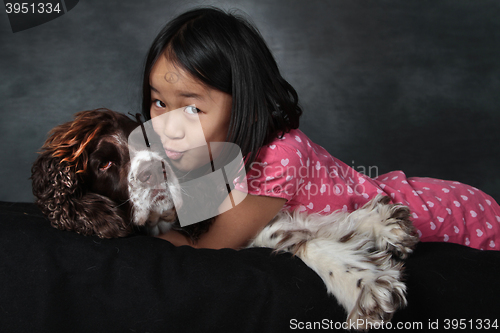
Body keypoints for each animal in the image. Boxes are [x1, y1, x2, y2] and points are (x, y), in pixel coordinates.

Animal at [33, 108, 420, 326]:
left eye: (149, 143)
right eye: (105, 164)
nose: (155, 170)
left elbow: (300, 229)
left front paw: (378, 227)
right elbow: (296, 239)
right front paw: (365, 283)